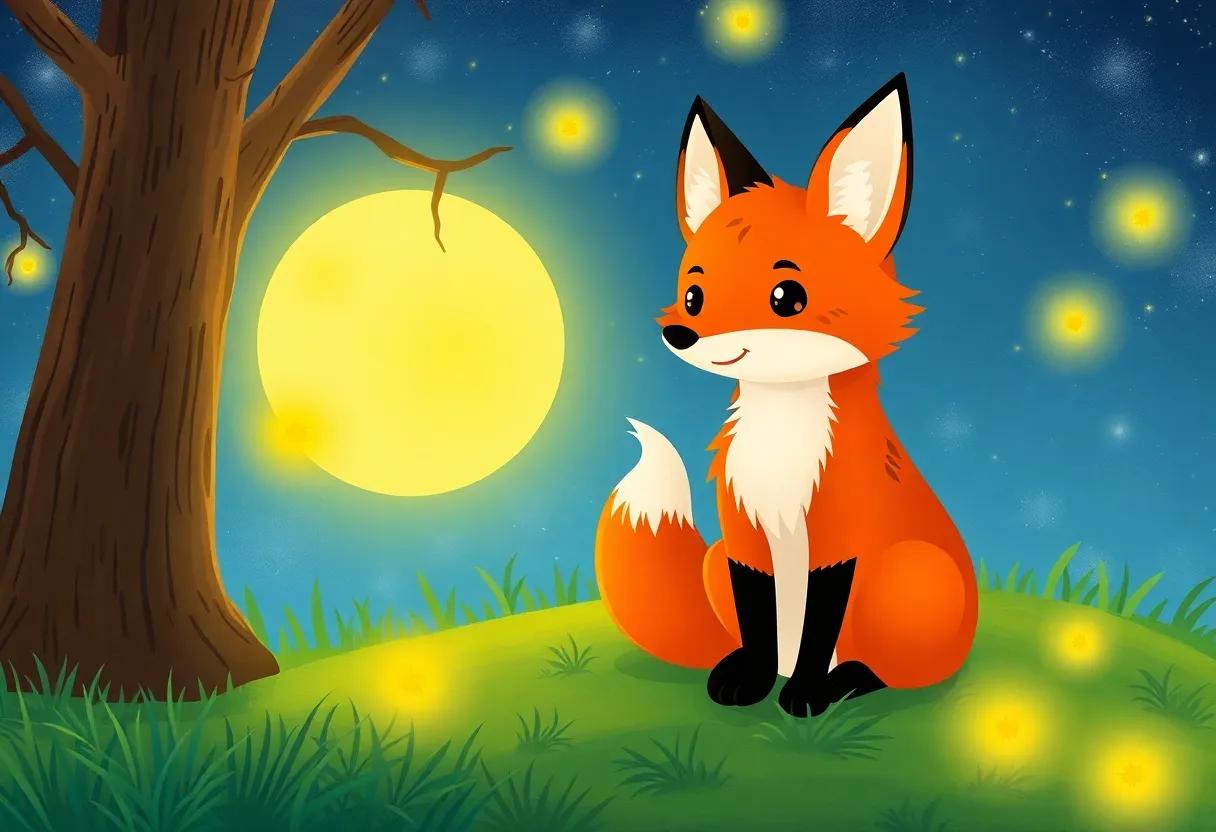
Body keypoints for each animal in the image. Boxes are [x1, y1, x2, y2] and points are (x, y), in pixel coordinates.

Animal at [595, 74, 978, 718]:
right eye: (694, 295)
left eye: (787, 296)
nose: (681, 334)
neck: (780, 444)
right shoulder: (744, 540)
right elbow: (757, 622)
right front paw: (748, 683)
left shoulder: (840, 542)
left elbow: (821, 626)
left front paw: (805, 694)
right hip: (715, 558)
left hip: (909, 575)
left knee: (887, 670)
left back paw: (846, 679)